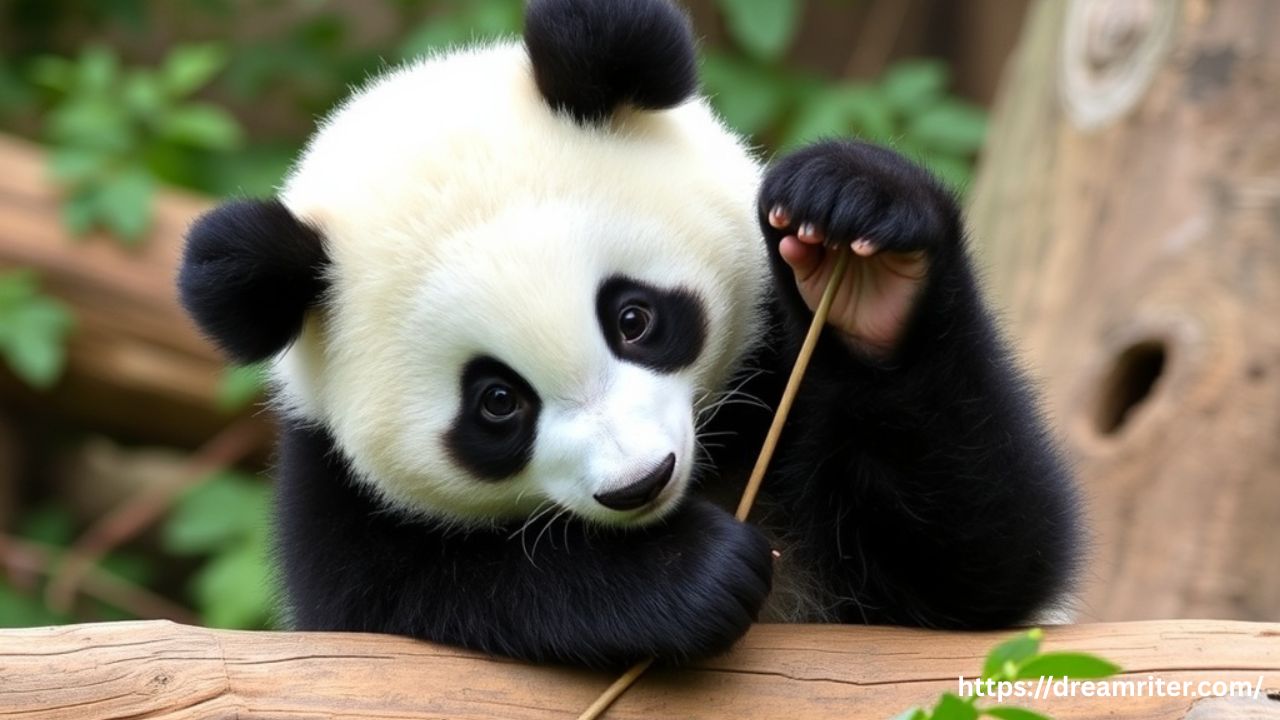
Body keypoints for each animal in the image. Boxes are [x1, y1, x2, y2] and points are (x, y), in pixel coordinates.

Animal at [178, 0, 1080, 669]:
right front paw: (690, 574)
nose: (640, 483)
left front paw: (857, 224)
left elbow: (982, 575)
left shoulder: (774, 365)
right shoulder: (330, 488)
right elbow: (407, 597)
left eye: (634, 318)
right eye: (497, 403)